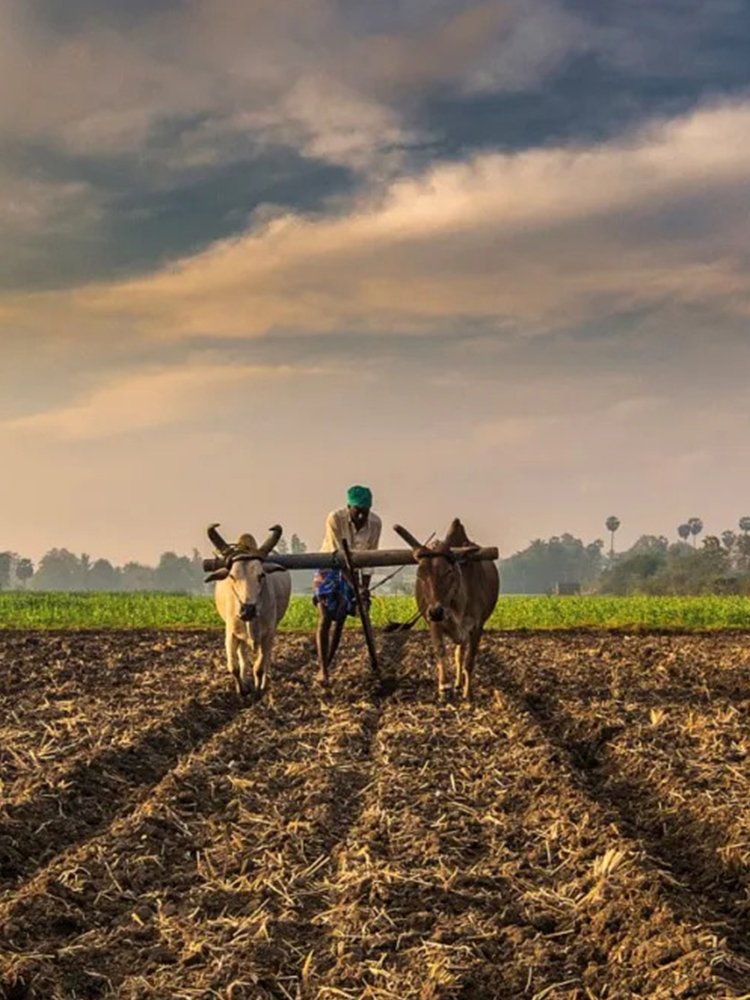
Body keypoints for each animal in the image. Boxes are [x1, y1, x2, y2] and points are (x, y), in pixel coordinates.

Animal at [204, 523, 291, 699]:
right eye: (231, 576)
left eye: (261, 575)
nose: (247, 610)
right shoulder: (230, 633)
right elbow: (234, 667)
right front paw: (242, 690)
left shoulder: (268, 634)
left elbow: (259, 666)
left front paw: (259, 690)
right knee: (243, 655)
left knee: (266, 658)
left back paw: (266, 680)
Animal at [395, 518, 500, 702]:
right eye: (419, 575)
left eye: (449, 571)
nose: (436, 611)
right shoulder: (434, 623)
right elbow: (440, 652)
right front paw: (444, 687)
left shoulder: (477, 627)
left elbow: (469, 661)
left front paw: (468, 694)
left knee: (460, 655)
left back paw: (460, 685)